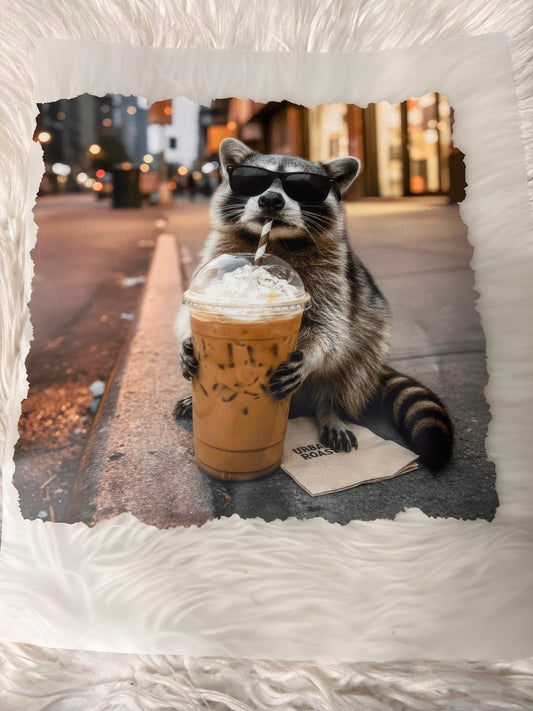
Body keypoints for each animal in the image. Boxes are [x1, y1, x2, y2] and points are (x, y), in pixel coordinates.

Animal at [175, 138, 453, 472]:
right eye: (253, 180)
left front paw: (310, 355)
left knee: (348, 367)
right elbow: (185, 311)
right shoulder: (216, 254)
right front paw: (187, 342)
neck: (275, 240)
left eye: (303, 187)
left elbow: (330, 326)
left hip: (369, 342)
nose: (270, 200)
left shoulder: (333, 272)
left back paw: (328, 409)